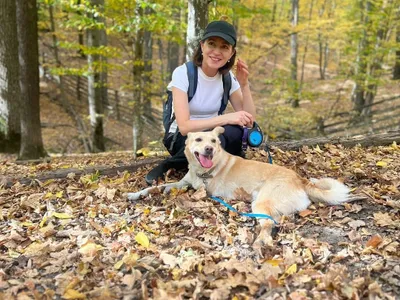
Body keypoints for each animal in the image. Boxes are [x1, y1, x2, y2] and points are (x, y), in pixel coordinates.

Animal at [126, 126, 348, 246]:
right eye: (199, 139)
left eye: (214, 141)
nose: (209, 149)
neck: (202, 170)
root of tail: (301, 179)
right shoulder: (183, 182)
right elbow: (155, 187)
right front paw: (136, 193)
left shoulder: (200, 191)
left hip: (261, 202)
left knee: (270, 224)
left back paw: (259, 242)